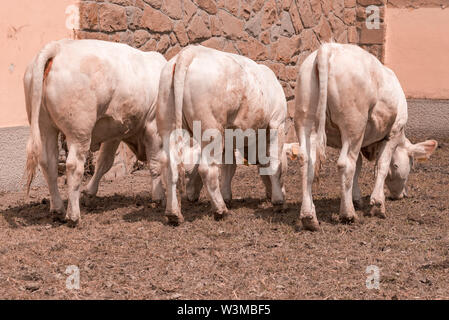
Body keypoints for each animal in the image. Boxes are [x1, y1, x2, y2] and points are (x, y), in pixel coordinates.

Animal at [23, 38, 166, 224]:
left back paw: (57, 208)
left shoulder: (115, 132)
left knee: (48, 163)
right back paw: (73, 215)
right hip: (79, 131)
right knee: (73, 166)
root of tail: (58, 46)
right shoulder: (153, 126)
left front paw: (90, 192)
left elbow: (105, 162)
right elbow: (156, 162)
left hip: (45, 127)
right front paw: (159, 196)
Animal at [158, 45, 288, 225]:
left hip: (168, 125)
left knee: (170, 167)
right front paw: (278, 200)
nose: (276, 194)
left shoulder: (230, 136)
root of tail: (190, 52)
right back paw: (220, 210)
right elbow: (273, 162)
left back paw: (174, 214)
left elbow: (229, 167)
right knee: (207, 169)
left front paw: (226, 196)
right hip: (211, 129)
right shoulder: (277, 122)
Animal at [296, 43, 436, 231]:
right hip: (353, 124)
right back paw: (348, 214)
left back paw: (309, 217)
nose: (402, 194)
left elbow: (358, 166)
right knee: (345, 164)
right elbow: (381, 166)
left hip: (306, 121)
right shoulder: (393, 134)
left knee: (307, 163)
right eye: (411, 165)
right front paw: (377, 205)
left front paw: (356, 198)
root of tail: (329, 47)